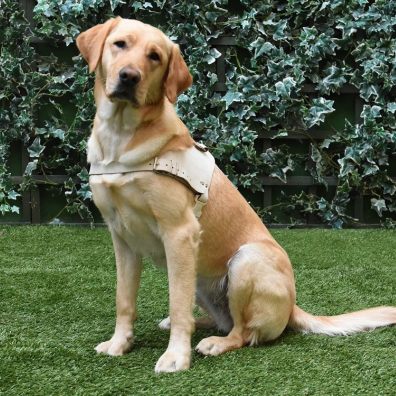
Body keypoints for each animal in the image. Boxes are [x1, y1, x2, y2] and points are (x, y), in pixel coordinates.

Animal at [77, 17, 396, 372]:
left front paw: (176, 357)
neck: (120, 139)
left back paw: (215, 342)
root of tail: (293, 307)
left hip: (245, 260)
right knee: (217, 317)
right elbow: (124, 300)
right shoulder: (123, 238)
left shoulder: (180, 233)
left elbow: (177, 304)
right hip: (201, 278)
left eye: (155, 56)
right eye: (119, 44)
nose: (129, 76)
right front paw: (120, 344)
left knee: (242, 331)